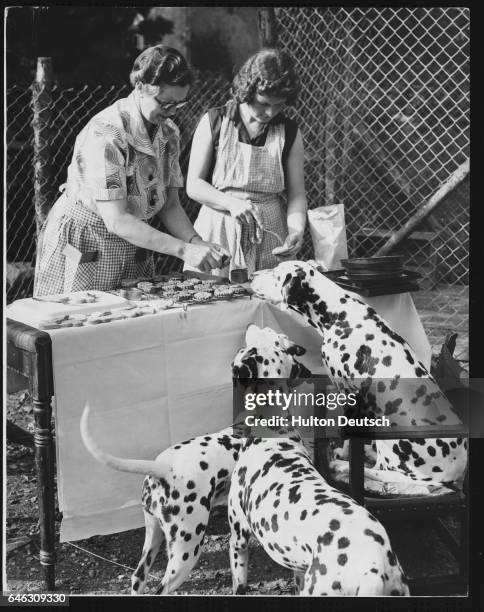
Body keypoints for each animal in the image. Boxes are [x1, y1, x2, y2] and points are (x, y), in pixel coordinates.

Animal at [229, 328, 410, 596]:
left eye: (264, 333)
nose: (251, 326)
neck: (273, 428)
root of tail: (373, 570)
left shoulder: (238, 538)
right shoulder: (298, 569)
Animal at [251, 260, 466, 486]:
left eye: (275, 273)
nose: (252, 275)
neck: (339, 315)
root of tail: (453, 474)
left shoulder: (348, 393)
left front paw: (343, 455)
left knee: (385, 471)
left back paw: (345, 465)